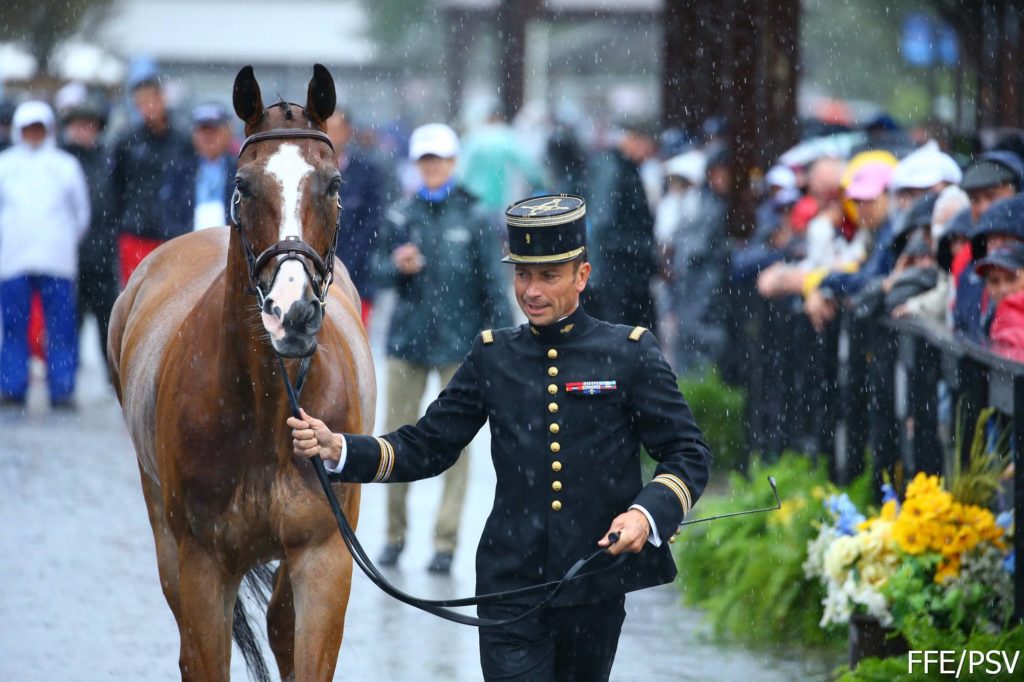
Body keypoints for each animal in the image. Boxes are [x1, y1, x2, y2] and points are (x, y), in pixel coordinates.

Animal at [109, 65, 372, 679]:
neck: (267, 409)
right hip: (165, 533)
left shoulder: (324, 557)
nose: (291, 312)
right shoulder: (203, 563)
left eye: (334, 184)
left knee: (279, 624)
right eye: (245, 185)